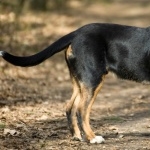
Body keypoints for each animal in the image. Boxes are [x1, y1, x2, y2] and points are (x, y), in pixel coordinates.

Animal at [0, 23, 150, 143]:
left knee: (70, 107)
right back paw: (92, 138)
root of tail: (77, 32)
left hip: (80, 82)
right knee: (81, 110)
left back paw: (77, 136)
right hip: (93, 79)